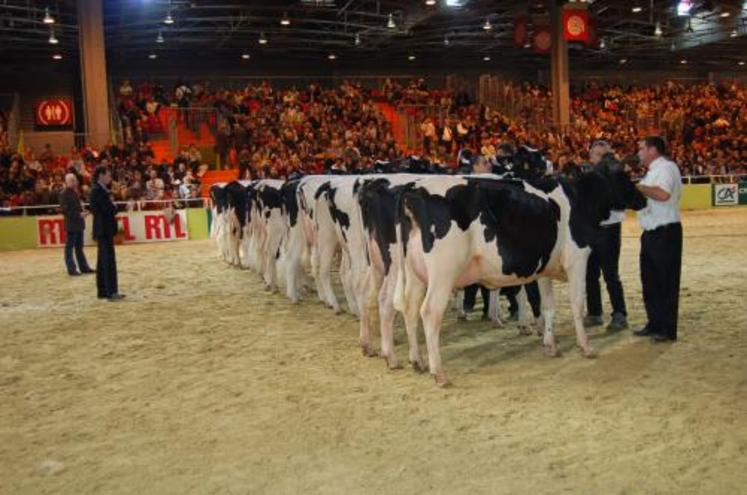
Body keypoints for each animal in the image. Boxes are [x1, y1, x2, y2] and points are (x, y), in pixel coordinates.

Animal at [394, 163, 644, 388]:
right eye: (626, 177)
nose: (643, 199)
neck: (579, 199)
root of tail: (414, 191)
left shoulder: (545, 268)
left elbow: (548, 306)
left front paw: (550, 345)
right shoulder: (577, 258)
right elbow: (576, 304)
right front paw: (586, 346)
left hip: (415, 274)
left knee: (411, 308)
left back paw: (417, 361)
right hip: (443, 272)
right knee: (429, 312)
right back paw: (439, 373)